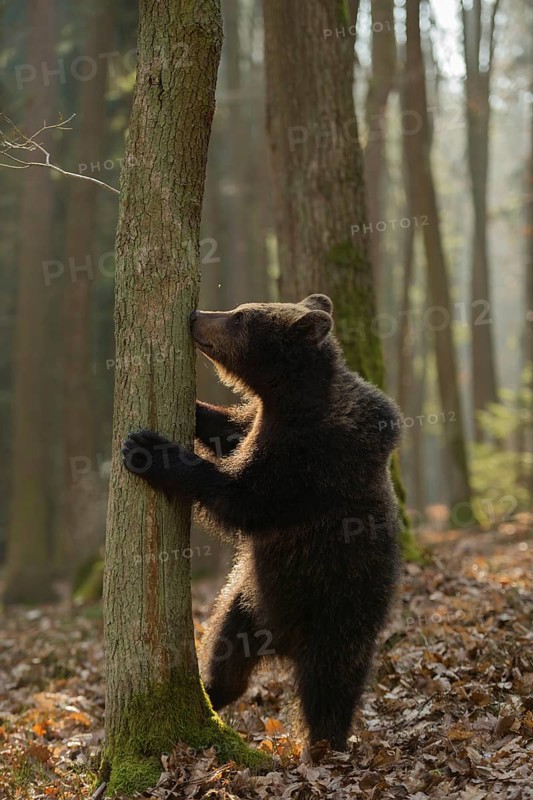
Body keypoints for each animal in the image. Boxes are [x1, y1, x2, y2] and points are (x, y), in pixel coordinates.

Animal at [122, 294, 402, 751]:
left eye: (240, 317)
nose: (197, 316)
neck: (291, 400)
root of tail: (283, 645)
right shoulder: (261, 425)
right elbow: (232, 430)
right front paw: (196, 411)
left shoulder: (312, 464)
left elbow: (244, 499)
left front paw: (148, 449)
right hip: (245, 605)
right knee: (227, 660)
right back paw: (210, 694)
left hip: (339, 613)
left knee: (329, 691)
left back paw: (324, 747)